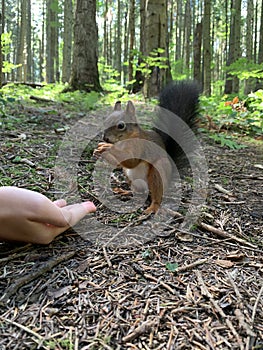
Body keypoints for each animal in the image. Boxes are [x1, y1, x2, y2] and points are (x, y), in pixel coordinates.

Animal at [94, 81, 201, 215]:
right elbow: (120, 163)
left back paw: (153, 207)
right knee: (138, 192)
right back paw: (125, 191)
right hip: (129, 177)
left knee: (157, 195)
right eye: (105, 121)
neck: (123, 142)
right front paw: (100, 149)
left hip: (157, 173)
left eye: (121, 125)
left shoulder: (141, 146)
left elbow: (132, 161)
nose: (105, 138)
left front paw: (107, 148)